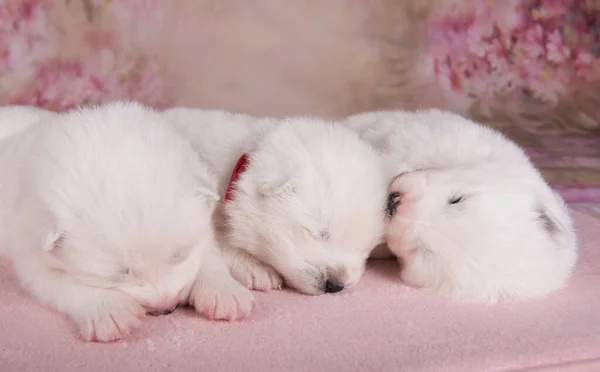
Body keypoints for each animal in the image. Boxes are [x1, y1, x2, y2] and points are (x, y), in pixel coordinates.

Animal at [0, 102, 253, 342]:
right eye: (121, 274)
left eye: (179, 255)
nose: (167, 306)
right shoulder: (31, 257)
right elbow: (65, 284)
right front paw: (109, 311)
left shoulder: (204, 224)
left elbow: (207, 255)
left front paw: (224, 292)